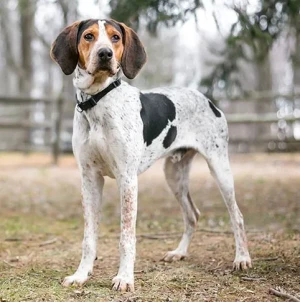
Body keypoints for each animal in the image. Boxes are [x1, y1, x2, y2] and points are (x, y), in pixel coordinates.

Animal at [50, 17, 252, 292]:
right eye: (88, 36)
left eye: (115, 37)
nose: (105, 54)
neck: (98, 101)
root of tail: (208, 100)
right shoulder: (89, 178)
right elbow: (88, 237)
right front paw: (81, 275)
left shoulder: (127, 179)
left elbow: (127, 237)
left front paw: (124, 278)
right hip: (174, 176)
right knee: (192, 215)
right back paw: (179, 252)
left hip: (219, 168)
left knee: (237, 216)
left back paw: (242, 258)